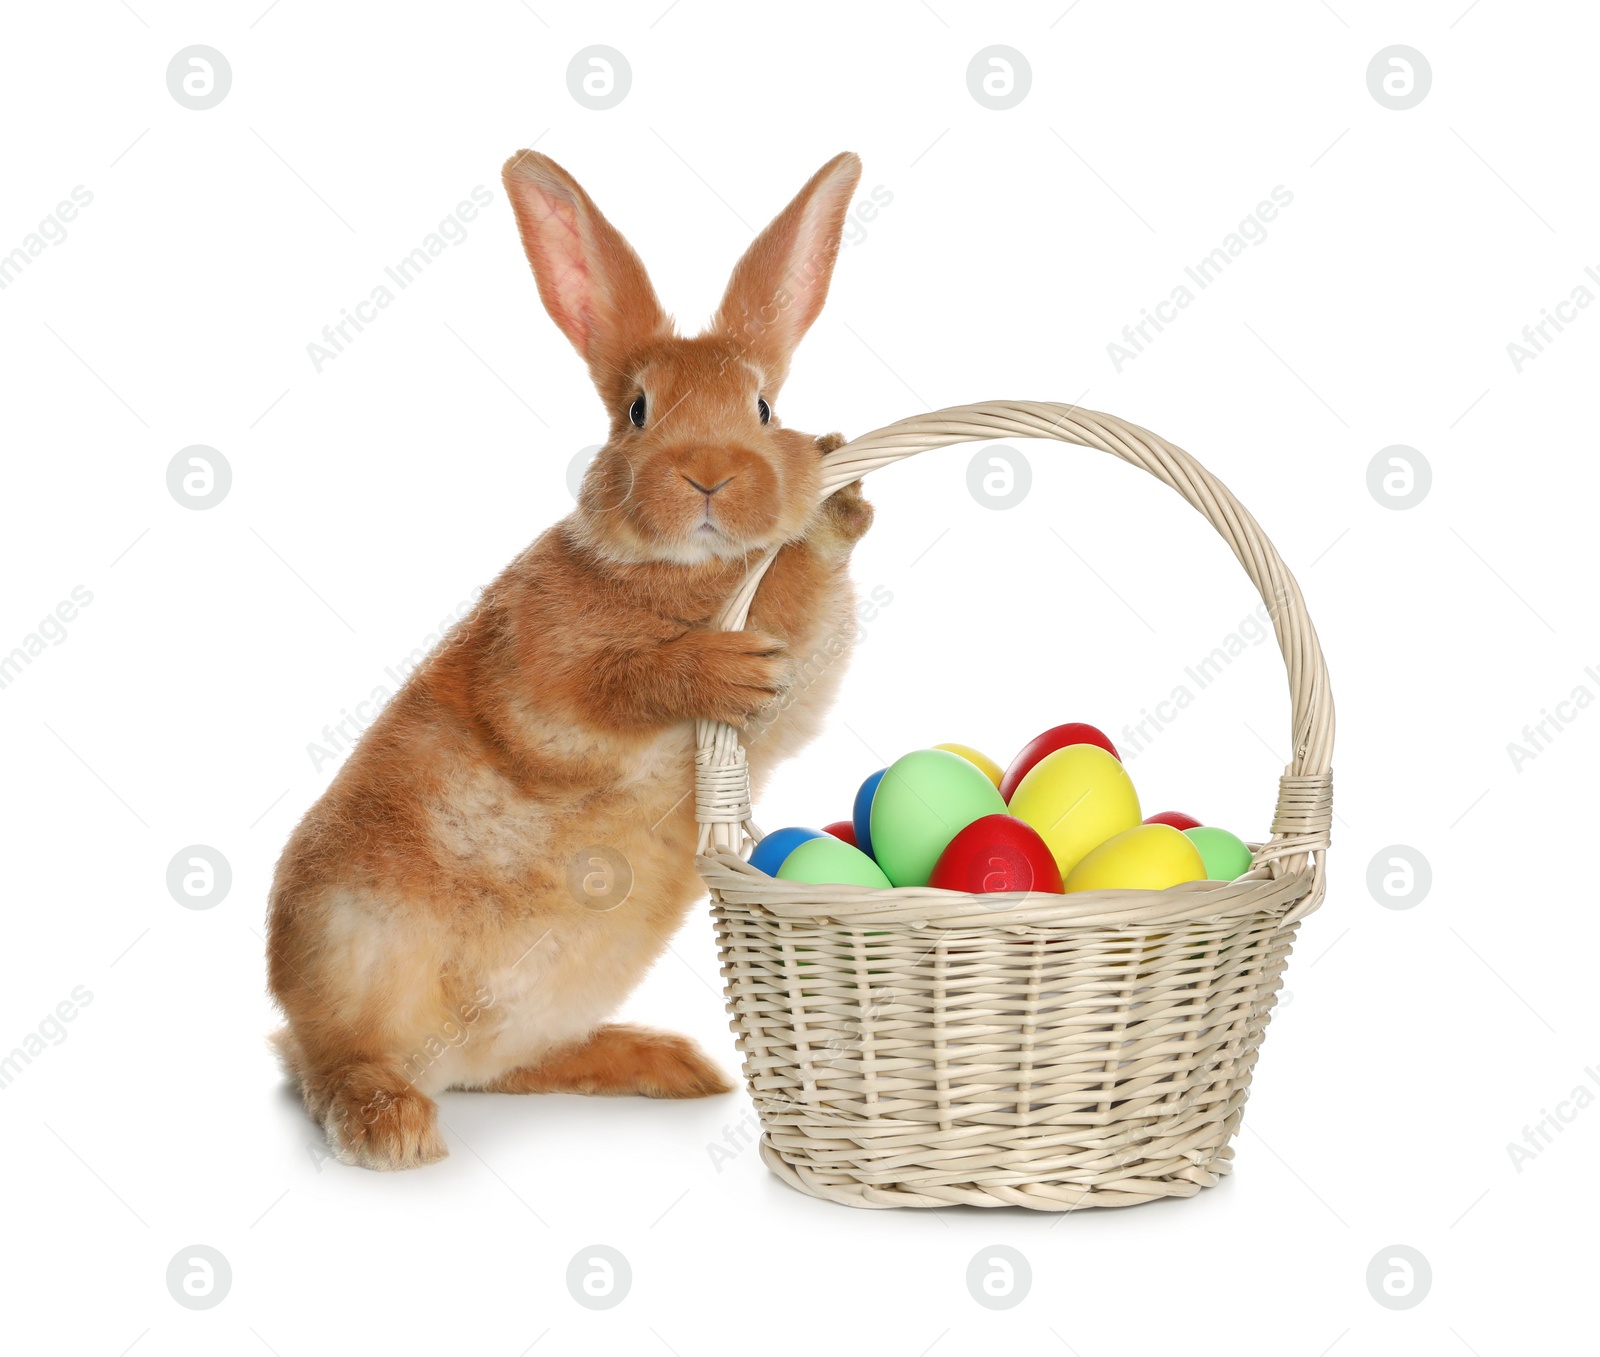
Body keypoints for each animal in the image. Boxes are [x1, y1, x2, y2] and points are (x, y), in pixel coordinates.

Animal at [272, 145, 876, 1164]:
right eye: (637, 410)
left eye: (764, 406)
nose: (709, 475)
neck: (689, 571)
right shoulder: (541, 673)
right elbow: (617, 683)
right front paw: (717, 667)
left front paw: (838, 500)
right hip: (349, 942)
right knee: (329, 1060)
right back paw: (390, 1126)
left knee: (503, 1065)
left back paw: (663, 1063)